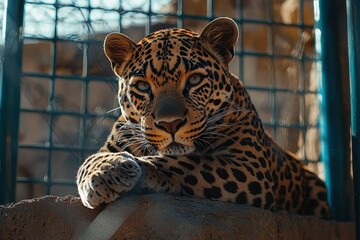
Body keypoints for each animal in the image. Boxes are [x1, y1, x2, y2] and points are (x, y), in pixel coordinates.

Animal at [76, 17, 330, 218]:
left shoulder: (249, 165)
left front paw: (142, 168)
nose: (170, 124)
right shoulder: (111, 145)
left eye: (195, 80)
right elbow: (87, 163)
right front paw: (106, 173)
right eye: (142, 86)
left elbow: (187, 162)